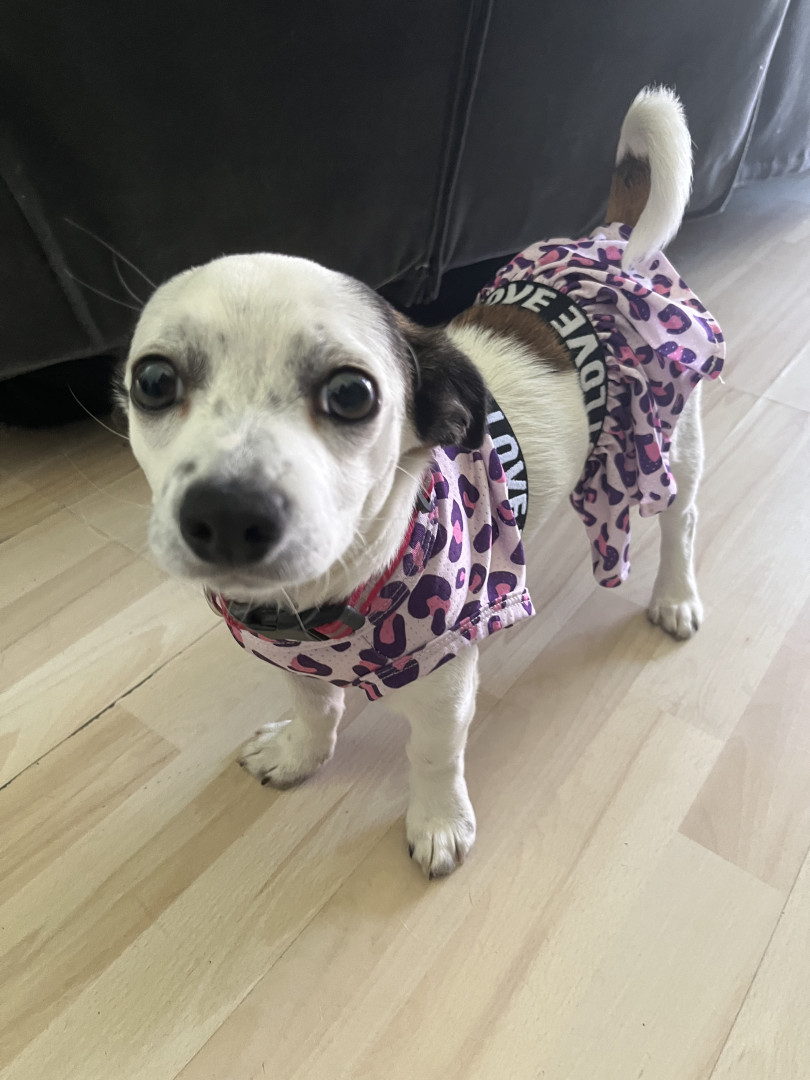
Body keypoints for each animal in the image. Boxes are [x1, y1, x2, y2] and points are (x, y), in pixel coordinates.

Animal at [124, 87, 725, 878]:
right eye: (152, 381)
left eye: (352, 394)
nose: (226, 513)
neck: (327, 603)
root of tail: (612, 236)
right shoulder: (291, 660)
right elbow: (315, 708)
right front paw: (301, 755)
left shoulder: (443, 682)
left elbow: (434, 755)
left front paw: (439, 822)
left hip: (672, 444)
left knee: (681, 522)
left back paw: (676, 597)